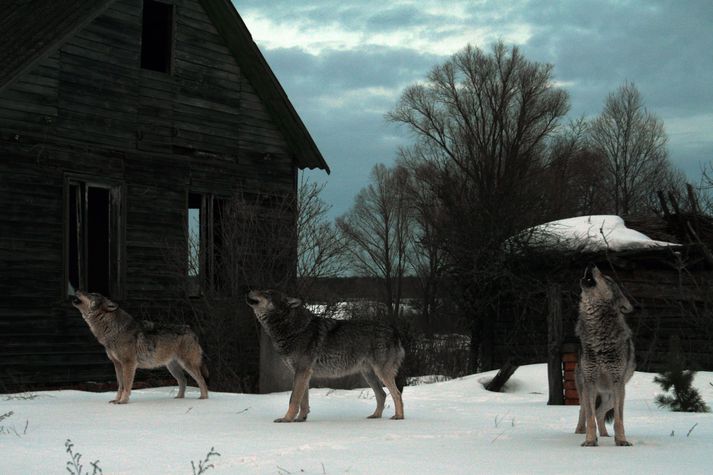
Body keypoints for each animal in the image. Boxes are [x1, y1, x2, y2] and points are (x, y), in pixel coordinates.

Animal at [71, 290, 209, 406]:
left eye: (91, 294)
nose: (77, 290)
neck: (114, 329)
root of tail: (191, 331)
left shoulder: (129, 364)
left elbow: (126, 386)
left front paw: (123, 401)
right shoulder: (117, 364)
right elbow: (120, 385)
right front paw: (116, 400)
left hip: (187, 365)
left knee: (201, 380)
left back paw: (203, 399)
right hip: (172, 367)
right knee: (183, 381)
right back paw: (179, 398)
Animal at [245, 290, 404, 424]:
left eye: (267, 293)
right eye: (262, 290)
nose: (250, 290)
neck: (294, 329)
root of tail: (394, 330)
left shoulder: (302, 371)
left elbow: (293, 399)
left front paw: (286, 419)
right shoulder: (303, 374)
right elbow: (303, 401)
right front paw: (301, 419)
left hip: (381, 373)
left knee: (396, 393)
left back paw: (399, 417)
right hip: (369, 375)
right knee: (382, 394)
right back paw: (375, 416)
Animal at [572, 266, 636, 448]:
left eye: (607, 279)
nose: (591, 265)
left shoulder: (617, 383)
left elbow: (618, 419)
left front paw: (621, 440)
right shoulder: (590, 382)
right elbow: (590, 417)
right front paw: (589, 441)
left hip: (613, 395)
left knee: (600, 413)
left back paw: (606, 435)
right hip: (586, 390)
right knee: (585, 411)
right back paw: (580, 432)